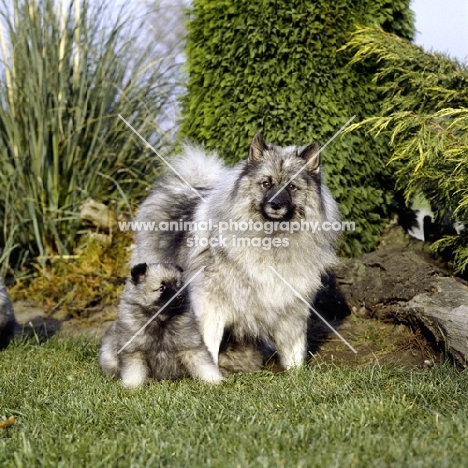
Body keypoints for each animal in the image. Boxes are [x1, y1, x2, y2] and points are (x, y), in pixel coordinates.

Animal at [130, 133, 338, 372]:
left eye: (292, 186)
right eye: (266, 183)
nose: (275, 204)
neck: (272, 238)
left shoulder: (292, 308)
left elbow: (294, 349)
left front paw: (295, 374)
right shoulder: (211, 306)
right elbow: (209, 344)